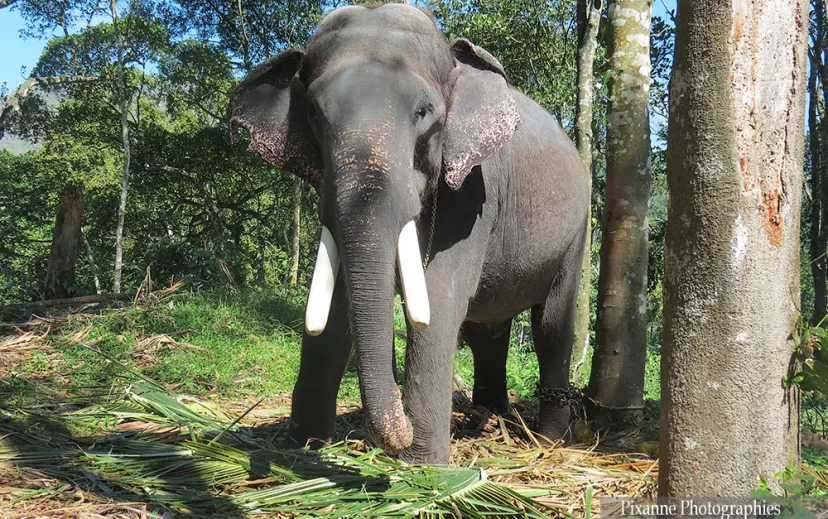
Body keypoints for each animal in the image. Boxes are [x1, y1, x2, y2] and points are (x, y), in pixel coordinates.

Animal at [228, 3, 589, 464]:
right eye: (314, 114)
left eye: (423, 112)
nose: (398, 429)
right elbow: (337, 301)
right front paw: (302, 449)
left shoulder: (474, 192)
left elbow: (439, 298)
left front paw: (424, 467)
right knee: (487, 330)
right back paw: (488, 420)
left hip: (577, 232)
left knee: (551, 328)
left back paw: (545, 441)